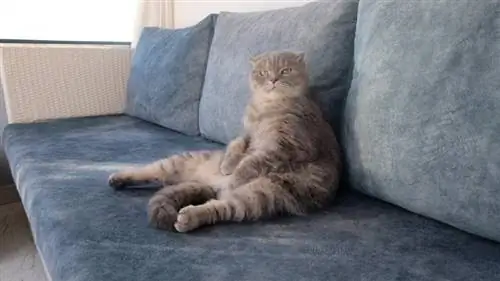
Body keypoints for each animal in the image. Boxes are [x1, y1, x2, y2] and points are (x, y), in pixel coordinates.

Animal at [108, 50, 344, 232]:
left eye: (285, 70)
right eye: (263, 72)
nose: (273, 80)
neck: (267, 107)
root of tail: (208, 184)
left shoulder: (288, 145)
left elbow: (252, 161)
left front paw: (236, 173)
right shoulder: (246, 132)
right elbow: (237, 143)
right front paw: (228, 164)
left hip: (264, 193)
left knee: (221, 206)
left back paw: (191, 215)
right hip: (182, 161)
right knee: (151, 170)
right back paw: (119, 178)